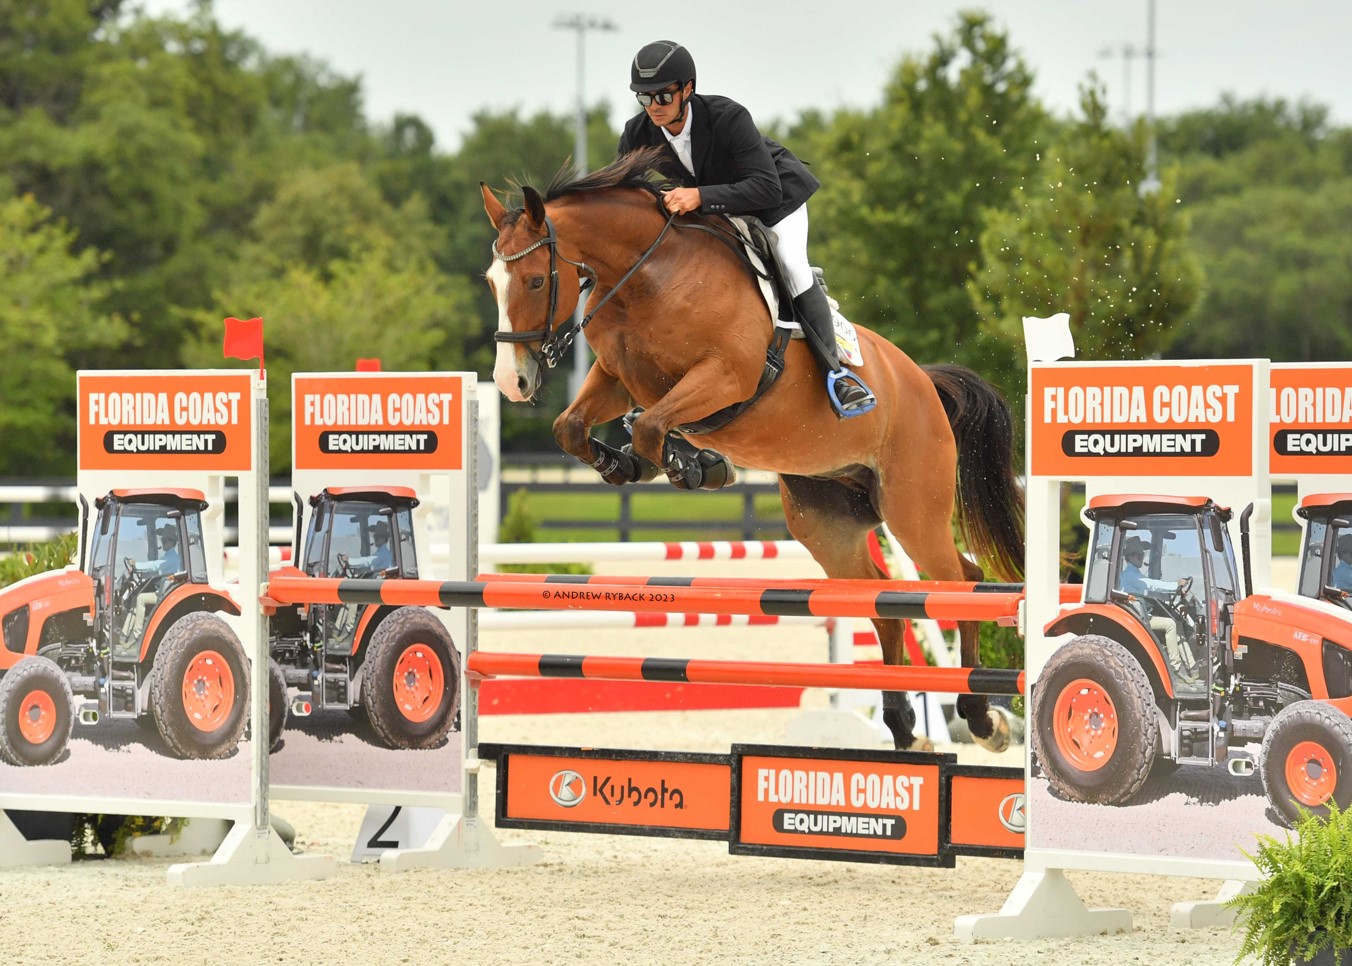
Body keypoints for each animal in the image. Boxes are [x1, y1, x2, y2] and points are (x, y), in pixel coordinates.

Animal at [486, 148, 1022, 752]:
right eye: (491, 282)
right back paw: (906, 731)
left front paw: (692, 465)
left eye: (534, 280)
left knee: (960, 580)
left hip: (913, 511)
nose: (511, 383)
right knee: (884, 605)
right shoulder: (617, 378)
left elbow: (651, 425)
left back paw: (982, 719)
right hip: (829, 523)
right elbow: (573, 429)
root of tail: (925, 383)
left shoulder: (725, 377)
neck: (646, 275)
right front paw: (626, 463)